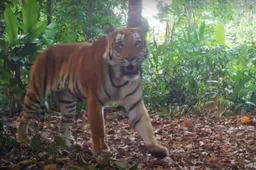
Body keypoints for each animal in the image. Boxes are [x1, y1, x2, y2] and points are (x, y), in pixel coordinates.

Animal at [17, 23, 170, 158]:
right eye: (120, 44)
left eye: (137, 43)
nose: (130, 58)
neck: (120, 77)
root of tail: (42, 51)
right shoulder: (94, 100)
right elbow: (98, 129)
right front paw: (100, 151)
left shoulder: (135, 102)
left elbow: (146, 125)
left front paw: (156, 147)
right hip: (36, 93)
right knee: (23, 117)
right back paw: (22, 139)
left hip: (68, 102)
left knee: (64, 122)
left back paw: (68, 143)